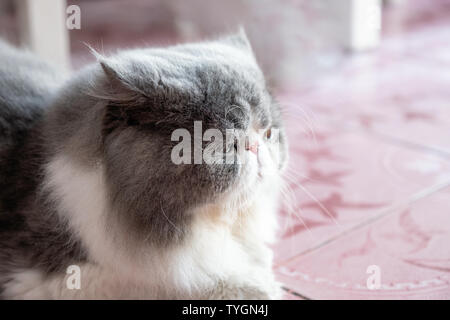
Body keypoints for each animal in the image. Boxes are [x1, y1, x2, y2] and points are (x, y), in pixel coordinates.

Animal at [0, 30, 288, 300]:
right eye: (226, 145)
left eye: (267, 133)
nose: (256, 147)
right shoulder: (48, 278)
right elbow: (178, 282)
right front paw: (260, 286)